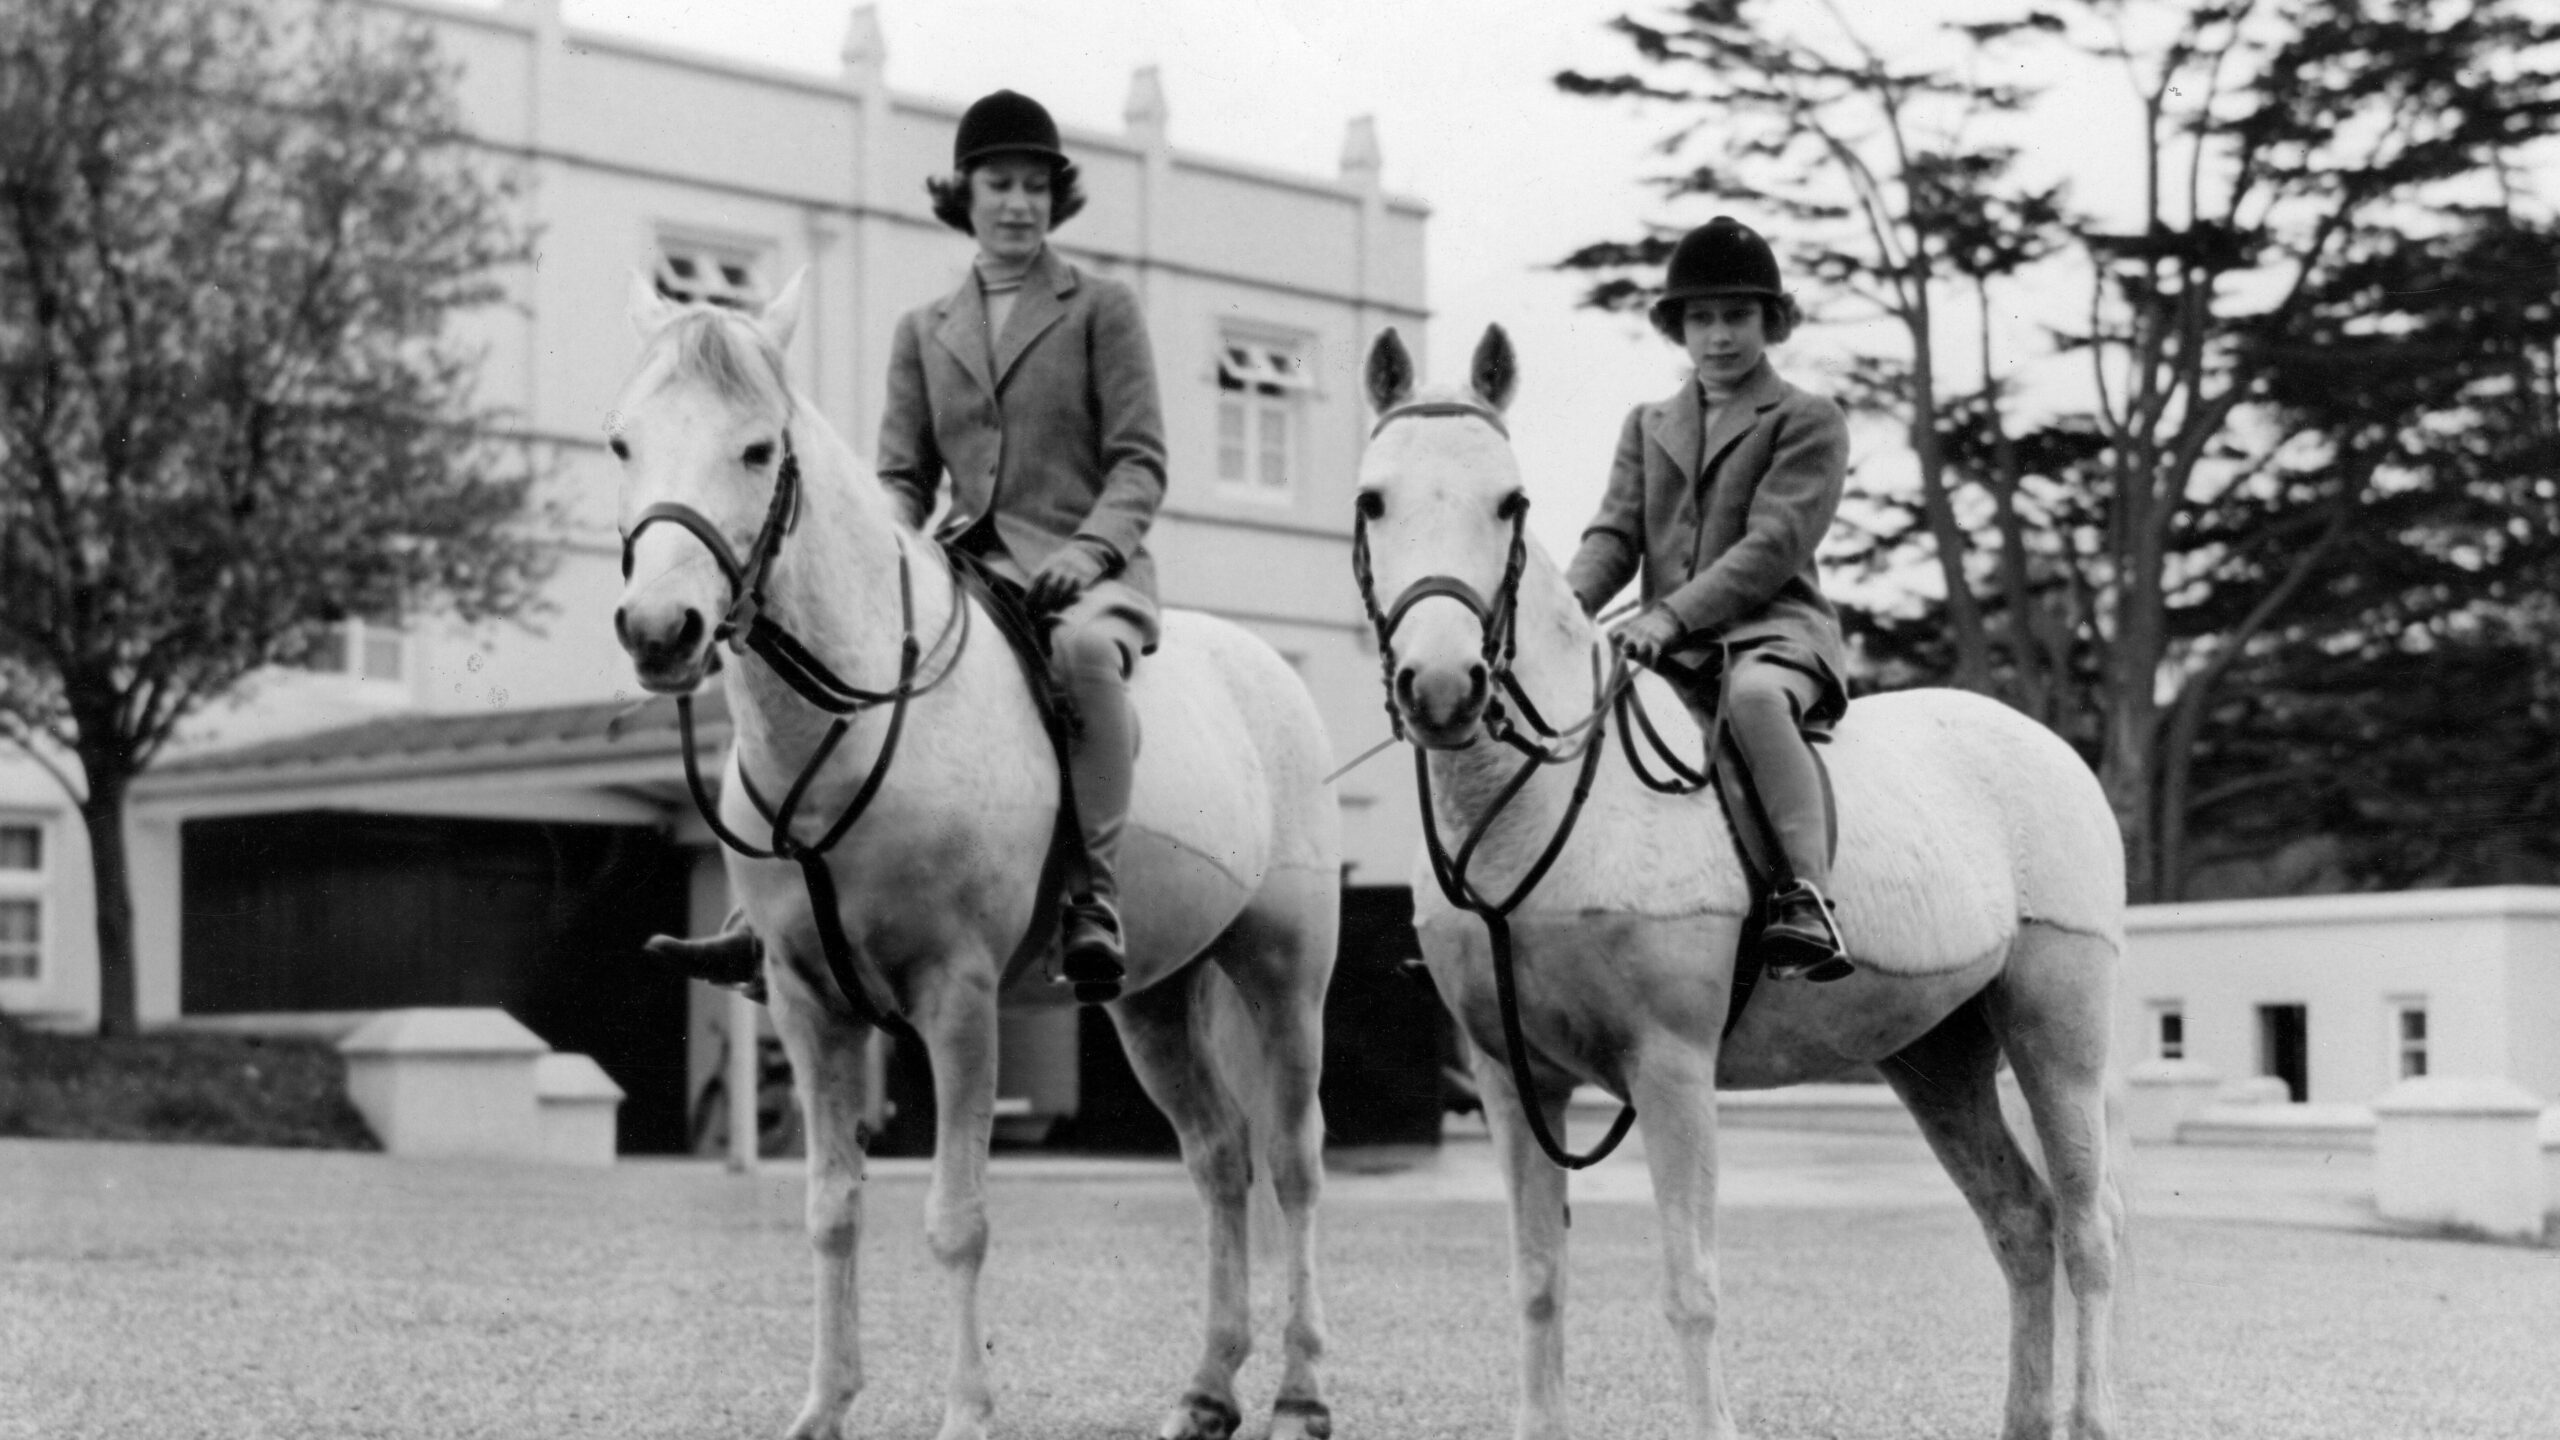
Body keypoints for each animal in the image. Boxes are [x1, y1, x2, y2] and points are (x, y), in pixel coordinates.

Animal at [611, 271, 1351, 1434]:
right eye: (623, 442)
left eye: (758, 449)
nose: (658, 630)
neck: (853, 723)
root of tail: (1264, 666)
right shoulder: (807, 1003)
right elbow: (831, 1209)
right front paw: (824, 1405)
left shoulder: (956, 999)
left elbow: (957, 1219)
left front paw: (965, 1411)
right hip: (1149, 998)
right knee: (1219, 1160)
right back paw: (1205, 1390)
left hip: (1284, 976)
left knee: (1293, 1163)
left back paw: (1299, 1392)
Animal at [1361, 325, 2119, 1434]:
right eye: (1373, 500)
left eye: (1512, 503)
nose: (1445, 687)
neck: (1543, 803)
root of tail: (2046, 744)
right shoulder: (1512, 1079)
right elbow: (1538, 1282)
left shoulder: (1670, 1068)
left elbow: (1691, 1289)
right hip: (1933, 1053)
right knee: (2020, 1220)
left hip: (2057, 1029)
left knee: (2087, 1231)